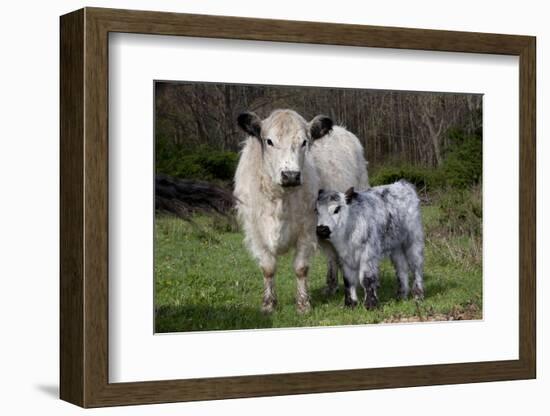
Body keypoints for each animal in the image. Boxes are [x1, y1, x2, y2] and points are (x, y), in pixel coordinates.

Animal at [234, 109, 368, 310]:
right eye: (269, 141)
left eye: (304, 142)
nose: (290, 175)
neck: (280, 200)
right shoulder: (256, 232)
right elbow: (268, 268)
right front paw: (268, 304)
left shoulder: (307, 229)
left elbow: (300, 268)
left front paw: (303, 304)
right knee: (332, 255)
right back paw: (331, 286)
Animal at [314, 180, 426, 310]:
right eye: (317, 211)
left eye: (337, 209)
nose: (321, 229)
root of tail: (403, 184)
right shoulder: (344, 257)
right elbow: (348, 280)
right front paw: (350, 304)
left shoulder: (368, 254)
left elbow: (367, 278)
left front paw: (371, 304)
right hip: (395, 246)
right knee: (401, 268)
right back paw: (401, 295)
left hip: (413, 239)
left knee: (416, 266)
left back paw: (418, 295)